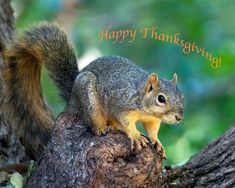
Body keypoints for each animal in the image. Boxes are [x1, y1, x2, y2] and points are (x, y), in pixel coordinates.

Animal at [2, 22, 185, 159]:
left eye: (181, 96)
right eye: (161, 98)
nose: (179, 117)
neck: (142, 101)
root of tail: (71, 102)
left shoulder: (152, 119)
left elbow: (152, 130)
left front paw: (157, 142)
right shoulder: (120, 103)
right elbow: (126, 122)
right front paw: (136, 135)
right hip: (88, 99)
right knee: (94, 123)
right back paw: (102, 128)